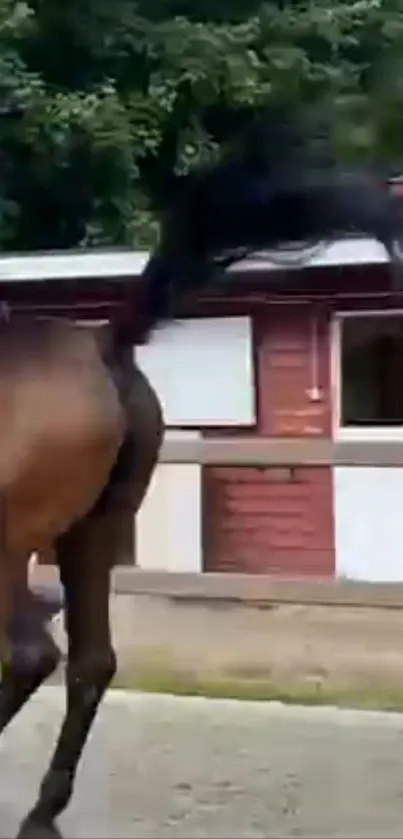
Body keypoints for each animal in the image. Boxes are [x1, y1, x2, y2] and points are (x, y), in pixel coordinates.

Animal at [2, 106, 403, 839]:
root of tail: (102, 344)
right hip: (91, 530)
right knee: (89, 661)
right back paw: (41, 814)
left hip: (12, 542)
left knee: (33, 654)